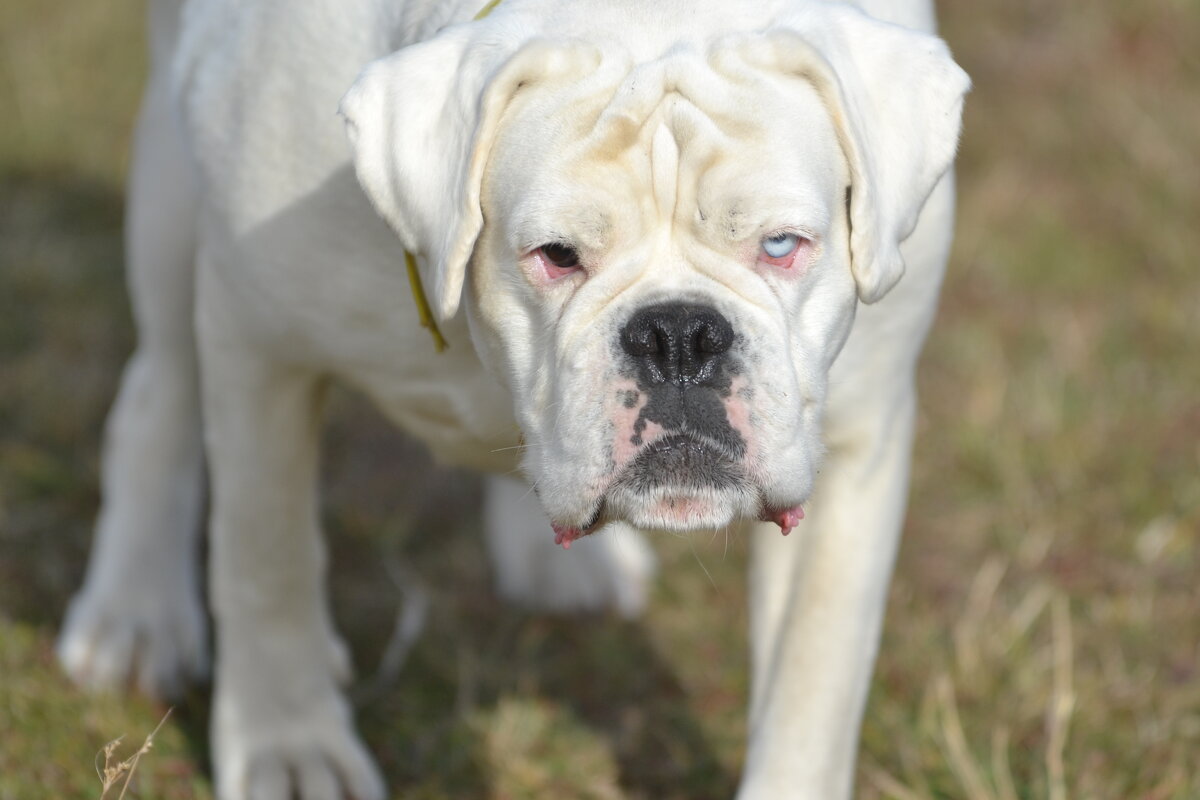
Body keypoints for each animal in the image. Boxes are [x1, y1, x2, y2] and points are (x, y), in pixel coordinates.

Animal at [60, 0, 969, 796]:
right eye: (556, 255)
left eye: (782, 245)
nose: (678, 336)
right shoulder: (260, 349)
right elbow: (265, 561)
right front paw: (291, 746)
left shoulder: (854, 448)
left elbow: (812, 676)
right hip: (176, 211)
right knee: (159, 393)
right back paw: (136, 612)